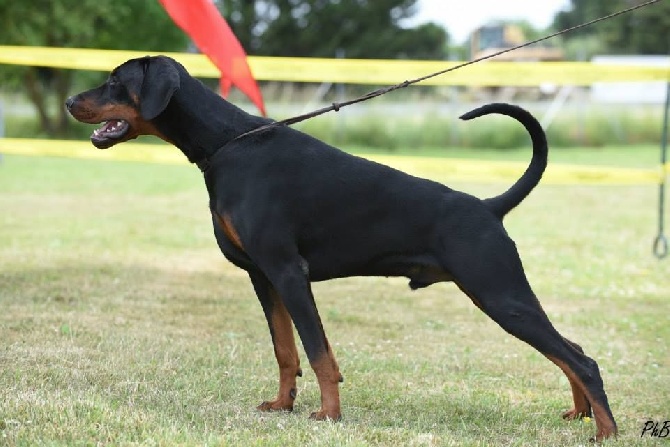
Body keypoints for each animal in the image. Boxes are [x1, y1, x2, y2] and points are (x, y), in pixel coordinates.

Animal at [68, 55, 620, 440]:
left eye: (116, 81)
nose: (71, 101)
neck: (228, 145)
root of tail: (489, 207)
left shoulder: (289, 271)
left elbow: (318, 352)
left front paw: (328, 415)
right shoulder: (263, 277)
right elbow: (285, 350)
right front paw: (282, 406)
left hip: (498, 292)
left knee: (583, 360)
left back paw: (606, 433)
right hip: (503, 295)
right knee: (571, 351)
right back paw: (580, 414)